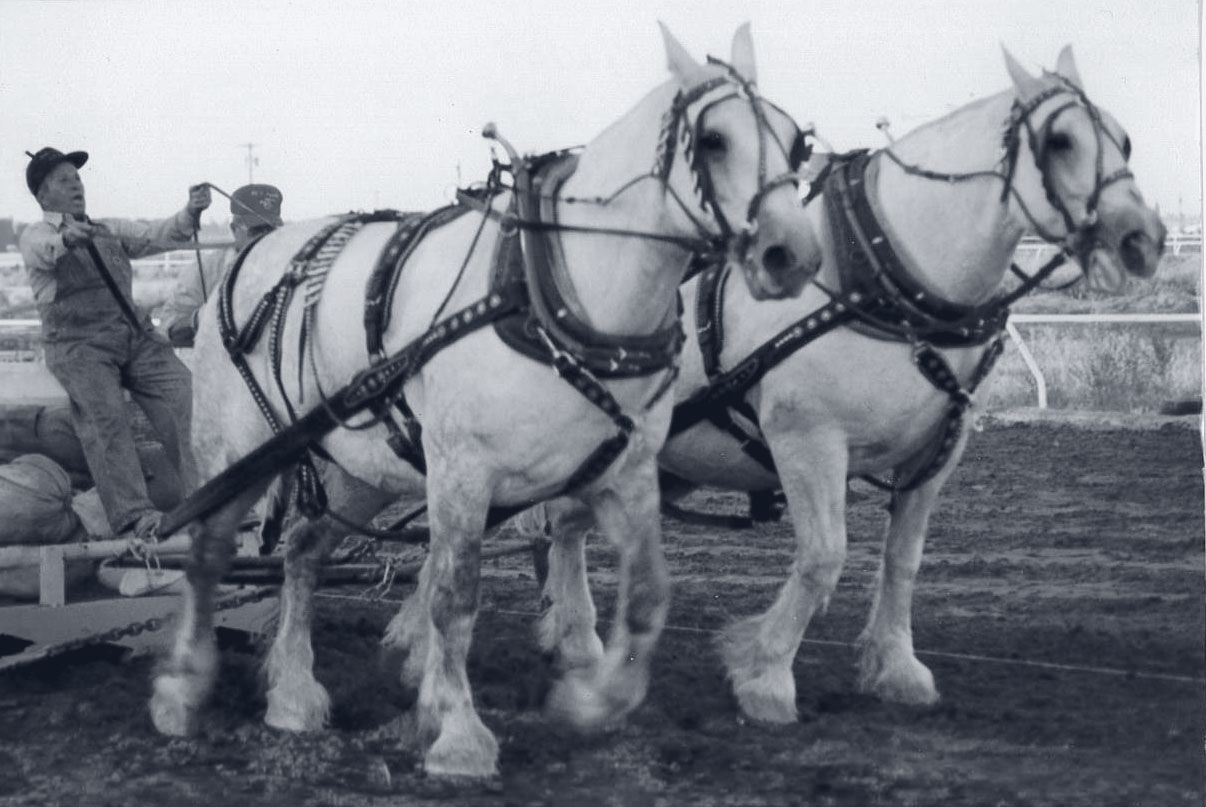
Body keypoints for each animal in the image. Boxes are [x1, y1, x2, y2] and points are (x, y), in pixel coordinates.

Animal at [148, 23, 821, 778]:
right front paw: (458, 733)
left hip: (360, 468)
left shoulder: (627, 472)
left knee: (302, 549)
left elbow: (648, 593)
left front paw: (592, 698)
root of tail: (246, 257)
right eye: (713, 140)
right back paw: (181, 690)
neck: (551, 293)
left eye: (797, 144)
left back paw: (292, 692)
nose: (792, 254)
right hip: (236, 451)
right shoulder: (463, 473)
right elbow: (454, 598)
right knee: (207, 552)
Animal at [533, 45, 1167, 725]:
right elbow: (822, 559)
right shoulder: (807, 439)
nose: (1143, 238)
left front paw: (896, 667)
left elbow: (903, 560)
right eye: (1059, 140)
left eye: (1124, 139)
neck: (885, 288)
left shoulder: (939, 451)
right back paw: (579, 640)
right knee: (565, 524)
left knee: (569, 524)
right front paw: (765, 674)